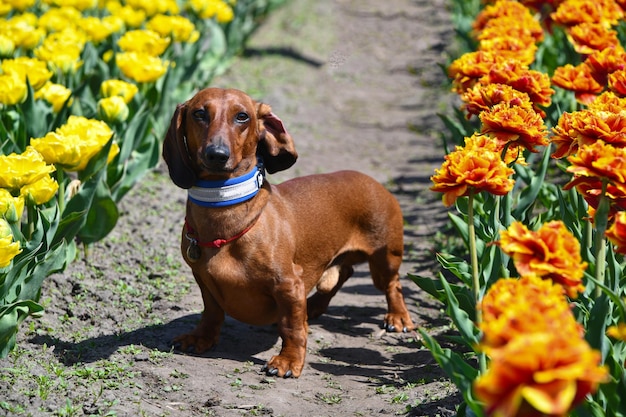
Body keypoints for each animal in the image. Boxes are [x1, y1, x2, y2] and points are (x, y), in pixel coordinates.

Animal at [163, 87, 412, 376]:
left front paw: (289, 360)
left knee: (393, 285)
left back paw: (398, 316)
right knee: (343, 274)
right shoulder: (204, 281)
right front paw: (200, 337)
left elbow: (291, 327)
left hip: (385, 258)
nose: (217, 154)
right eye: (199, 114)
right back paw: (313, 306)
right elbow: (212, 313)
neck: (226, 214)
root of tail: (374, 182)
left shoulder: (289, 285)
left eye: (242, 116)